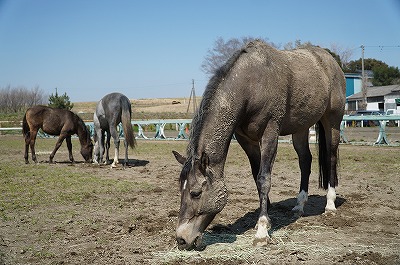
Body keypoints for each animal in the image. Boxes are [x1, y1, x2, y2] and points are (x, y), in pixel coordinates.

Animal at [173, 39, 346, 250]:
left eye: (196, 193)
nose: (181, 239)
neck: (251, 85)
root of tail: (330, 61)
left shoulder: (270, 133)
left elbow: (264, 179)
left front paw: (262, 231)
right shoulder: (245, 140)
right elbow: (256, 176)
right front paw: (263, 220)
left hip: (333, 121)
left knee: (331, 157)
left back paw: (330, 204)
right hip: (301, 128)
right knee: (305, 160)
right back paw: (299, 205)